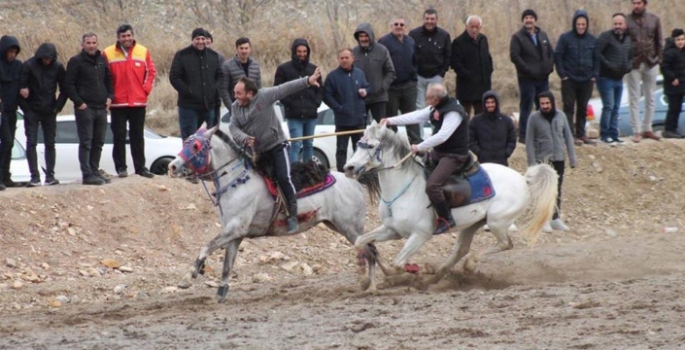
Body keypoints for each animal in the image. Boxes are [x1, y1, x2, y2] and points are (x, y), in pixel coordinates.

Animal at [167, 126, 380, 304]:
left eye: (195, 146)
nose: (172, 166)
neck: (238, 182)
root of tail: (356, 181)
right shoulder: (235, 234)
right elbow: (227, 263)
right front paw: (220, 293)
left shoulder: (234, 228)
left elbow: (206, 247)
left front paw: (188, 277)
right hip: (336, 224)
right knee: (371, 249)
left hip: (350, 227)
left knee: (370, 250)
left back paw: (372, 283)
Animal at [342, 122, 556, 288]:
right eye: (359, 144)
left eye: (370, 146)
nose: (348, 168)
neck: (402, 188)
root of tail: (522, 178)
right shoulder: (391, 230)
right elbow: (361, 241)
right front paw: (369, 278)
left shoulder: (420, 235)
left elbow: (397, 263)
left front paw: (415, 270)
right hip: (473, 224)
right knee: (461, 250)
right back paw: (435, 278)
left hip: (497, 222)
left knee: (505, 244)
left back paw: (468, 265)